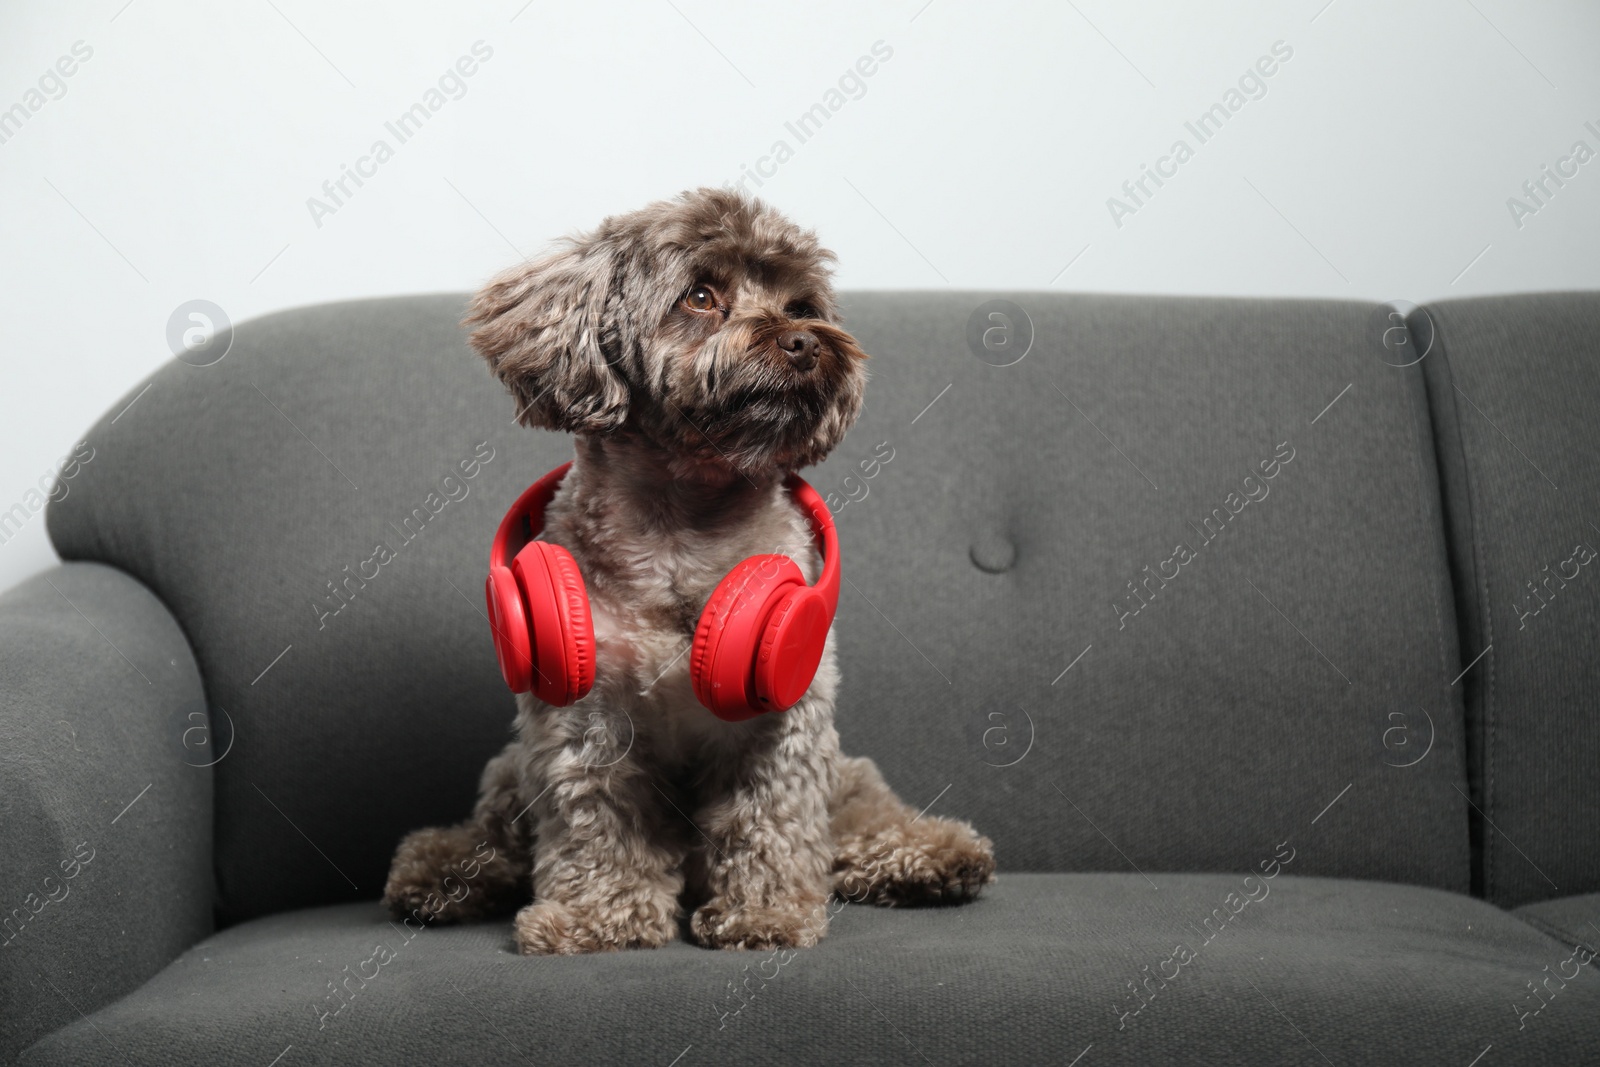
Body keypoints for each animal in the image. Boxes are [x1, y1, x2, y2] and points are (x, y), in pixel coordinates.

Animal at [380, 187, 992, 953]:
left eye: (800, 304)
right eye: (701, 295)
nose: (805, 341)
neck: (684, 525)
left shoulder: (782, 718)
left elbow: (769, 820)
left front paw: (765, 914)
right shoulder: (586, 716)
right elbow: (597, 824)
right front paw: (598, 918)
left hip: (846, 772)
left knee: (860, 813)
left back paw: (935, 856)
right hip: (511, 769)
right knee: (494, 828)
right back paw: (443, 872)